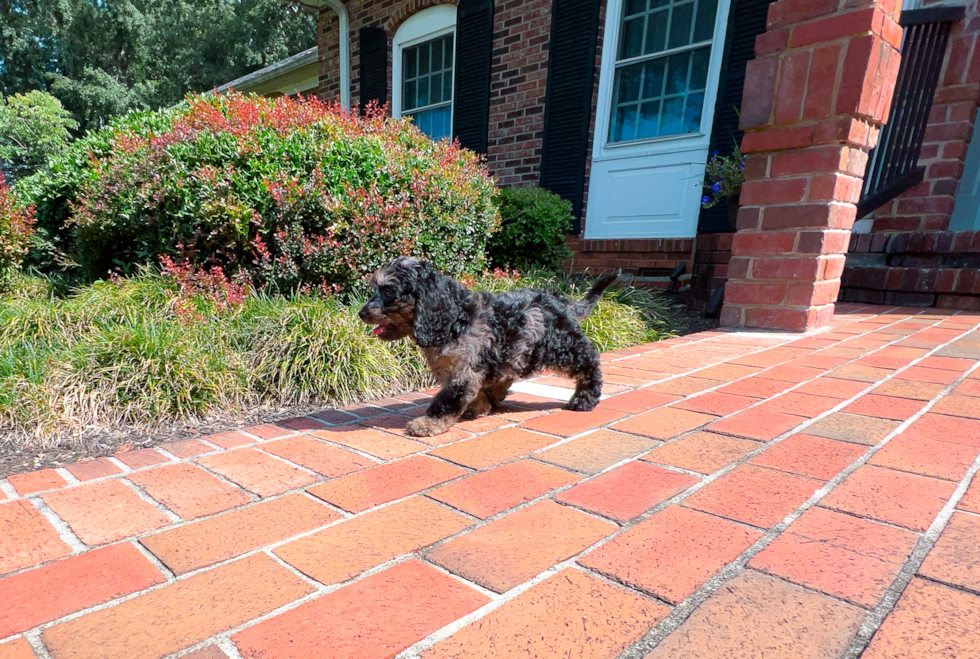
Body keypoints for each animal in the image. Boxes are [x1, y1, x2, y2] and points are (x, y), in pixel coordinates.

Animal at [360, 258, 616, 438]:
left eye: (388, 292)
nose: (361, 313)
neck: (455, 319)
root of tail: (562, 302)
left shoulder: (463, 371)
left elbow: (446, 399)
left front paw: (428, 423)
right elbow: (475, 389)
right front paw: (480, 405)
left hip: (561, 346)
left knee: (589, 362)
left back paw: (584, 399)